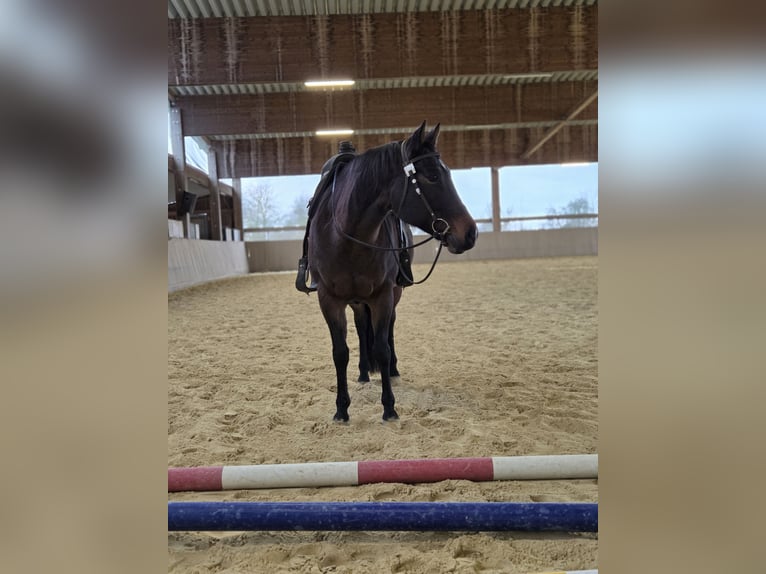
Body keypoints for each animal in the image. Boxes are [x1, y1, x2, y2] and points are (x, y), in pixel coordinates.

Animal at [308, 121, 478, 422]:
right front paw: (341, 409)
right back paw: (364, 373)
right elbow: (340, 352)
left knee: (388, 330)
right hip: (356, 301)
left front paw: (389, 407)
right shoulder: (328, 299)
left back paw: (391, 371)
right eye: (433, 176)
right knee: (362, 328)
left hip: (392, 294)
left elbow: (382, 348)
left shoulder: (383, 296)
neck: (347, 237)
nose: (470, 233)